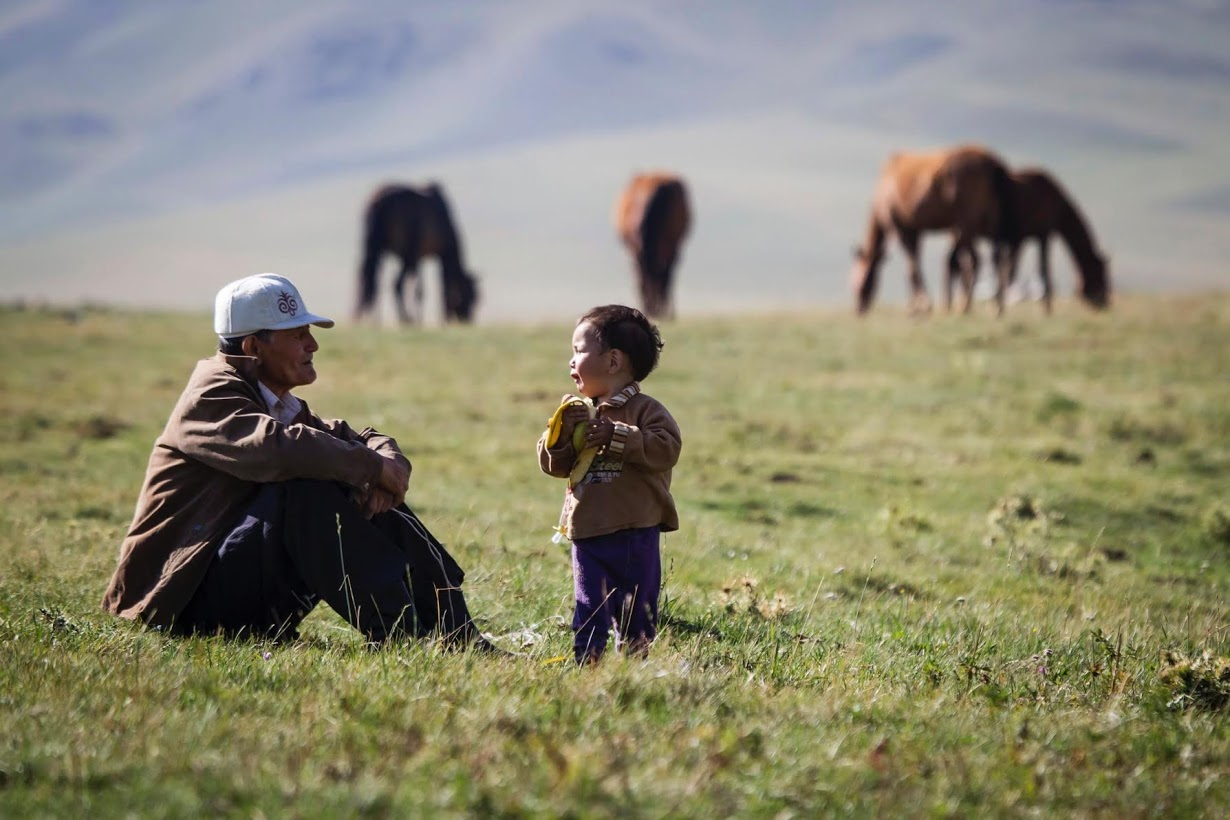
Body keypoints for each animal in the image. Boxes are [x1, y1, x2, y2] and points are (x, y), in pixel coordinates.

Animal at [356, 183, 479, 324]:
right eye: (470, 296)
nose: (468, 320)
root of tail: (377, 203)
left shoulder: (419, 257)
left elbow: (420, 289)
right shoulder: (433, 254)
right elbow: (439, 286)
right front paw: (437, 320)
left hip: (375, 250)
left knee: (369, 280)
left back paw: (370, 319)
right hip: (405, 255)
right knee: (396, 283)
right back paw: (405, 318)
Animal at [846, 145, 1018, 317]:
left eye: (861, 281)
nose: (858, 310)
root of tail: (993, 164)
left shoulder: (900, 228)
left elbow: (912, 268)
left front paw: (923, 305)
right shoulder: (916, 231)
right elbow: (913, 265)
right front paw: (914, 306)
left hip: (966, 224)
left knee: (975, 261)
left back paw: (964, 306)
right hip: (990, 220)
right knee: (997, 258)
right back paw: (996, 307)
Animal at [949, 169, 1116, 314]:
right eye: (1100, 274)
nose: (1105, 304)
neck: (1058, 204)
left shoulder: (1022, 239)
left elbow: (1011, 270)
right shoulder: (1042, 234)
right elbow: (1037, 270)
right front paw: (1046, 310)